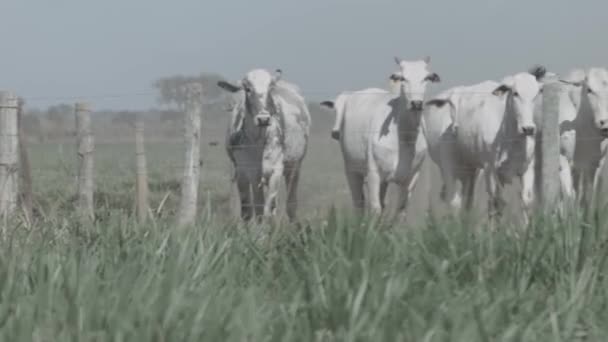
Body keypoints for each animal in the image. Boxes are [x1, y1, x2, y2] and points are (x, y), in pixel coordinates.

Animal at [218, 69, 312, 222]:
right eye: (248, 89)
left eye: (270, 88)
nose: (263, 119)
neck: (258, 142)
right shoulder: (245, 173)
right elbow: (251, 210)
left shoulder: (276, 171)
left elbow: (268, 209)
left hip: (294, 167)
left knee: (290, 205)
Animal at [320, 56, 440, 216]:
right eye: (403, 78)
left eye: (426, 77)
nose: (416, 103)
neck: (404, 137)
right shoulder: (374, 173)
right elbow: (375, 208)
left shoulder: (411, 177)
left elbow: (400, 210)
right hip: (352, 170)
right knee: (359, 204)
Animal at [422, 68, 548, 226]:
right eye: (515, 93)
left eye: (536, 93)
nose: (528, 129)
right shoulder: (490, 169)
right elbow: (496, 203)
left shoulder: (526, 168)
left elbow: (526, 201)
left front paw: (526, 229)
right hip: (448, 167)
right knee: (454, 201)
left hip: (471, 172)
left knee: (467, 202)